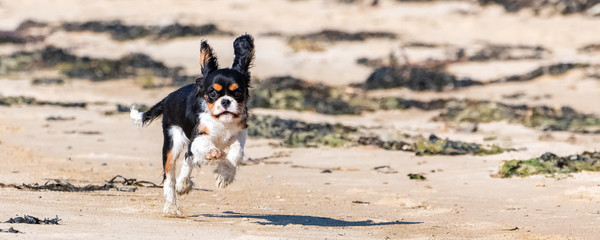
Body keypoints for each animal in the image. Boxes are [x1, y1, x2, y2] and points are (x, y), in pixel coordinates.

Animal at [130, 33, 254, 216]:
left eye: (237, 92)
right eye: (212, 93)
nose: (225, 101)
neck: (221, 121)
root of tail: (168, 97)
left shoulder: (240, 132)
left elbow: (237, 153)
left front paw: (224, 175)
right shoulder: (198, 137)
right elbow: (205, 145)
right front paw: (213, 153)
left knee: (188, 159)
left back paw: (184, 184)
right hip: (173, 142)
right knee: (169, 177)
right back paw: (171, 207)